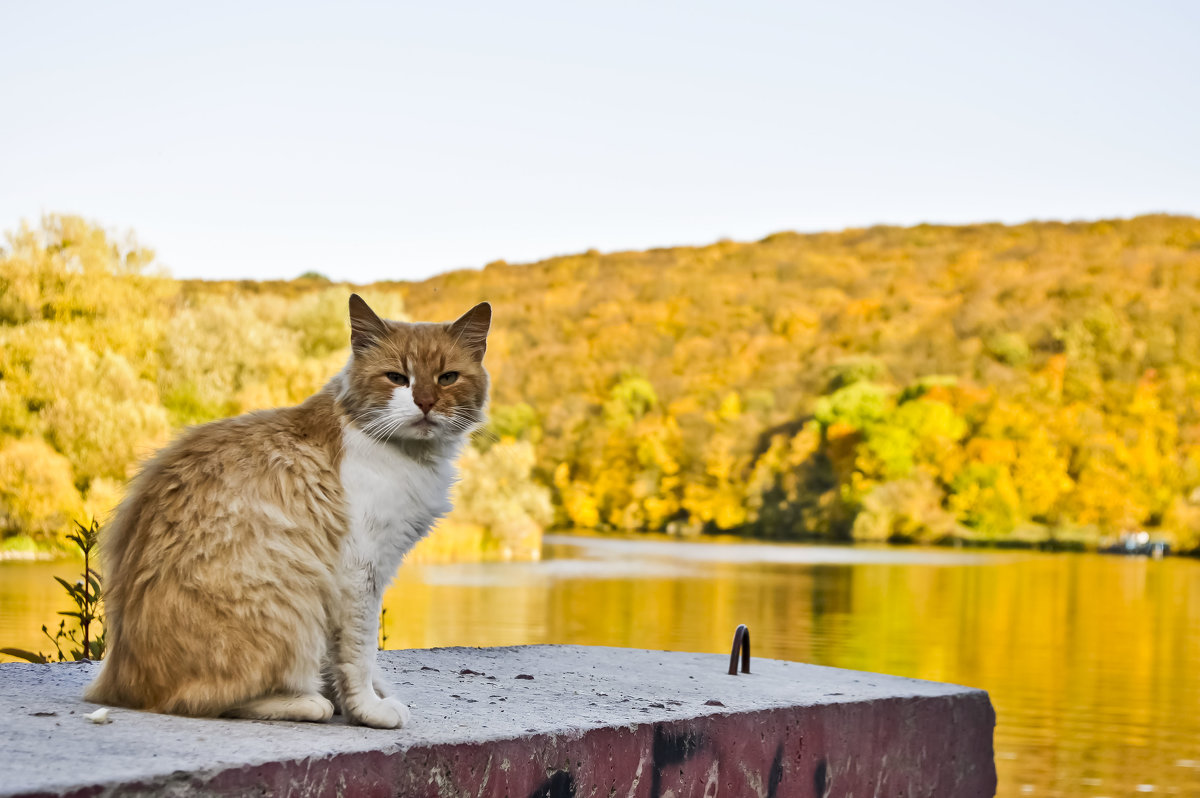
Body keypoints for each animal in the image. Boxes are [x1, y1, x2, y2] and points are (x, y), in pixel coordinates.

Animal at [84, 294, 489, 729]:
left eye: (447, 378)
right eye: (397, 378)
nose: (426, 402)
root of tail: (119, 679)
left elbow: (337, 660)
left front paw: (351, 700)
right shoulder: (359, 571)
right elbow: (359, 657)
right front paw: (367, 709)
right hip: (292, 599)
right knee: (203, 701)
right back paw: (307, 702)